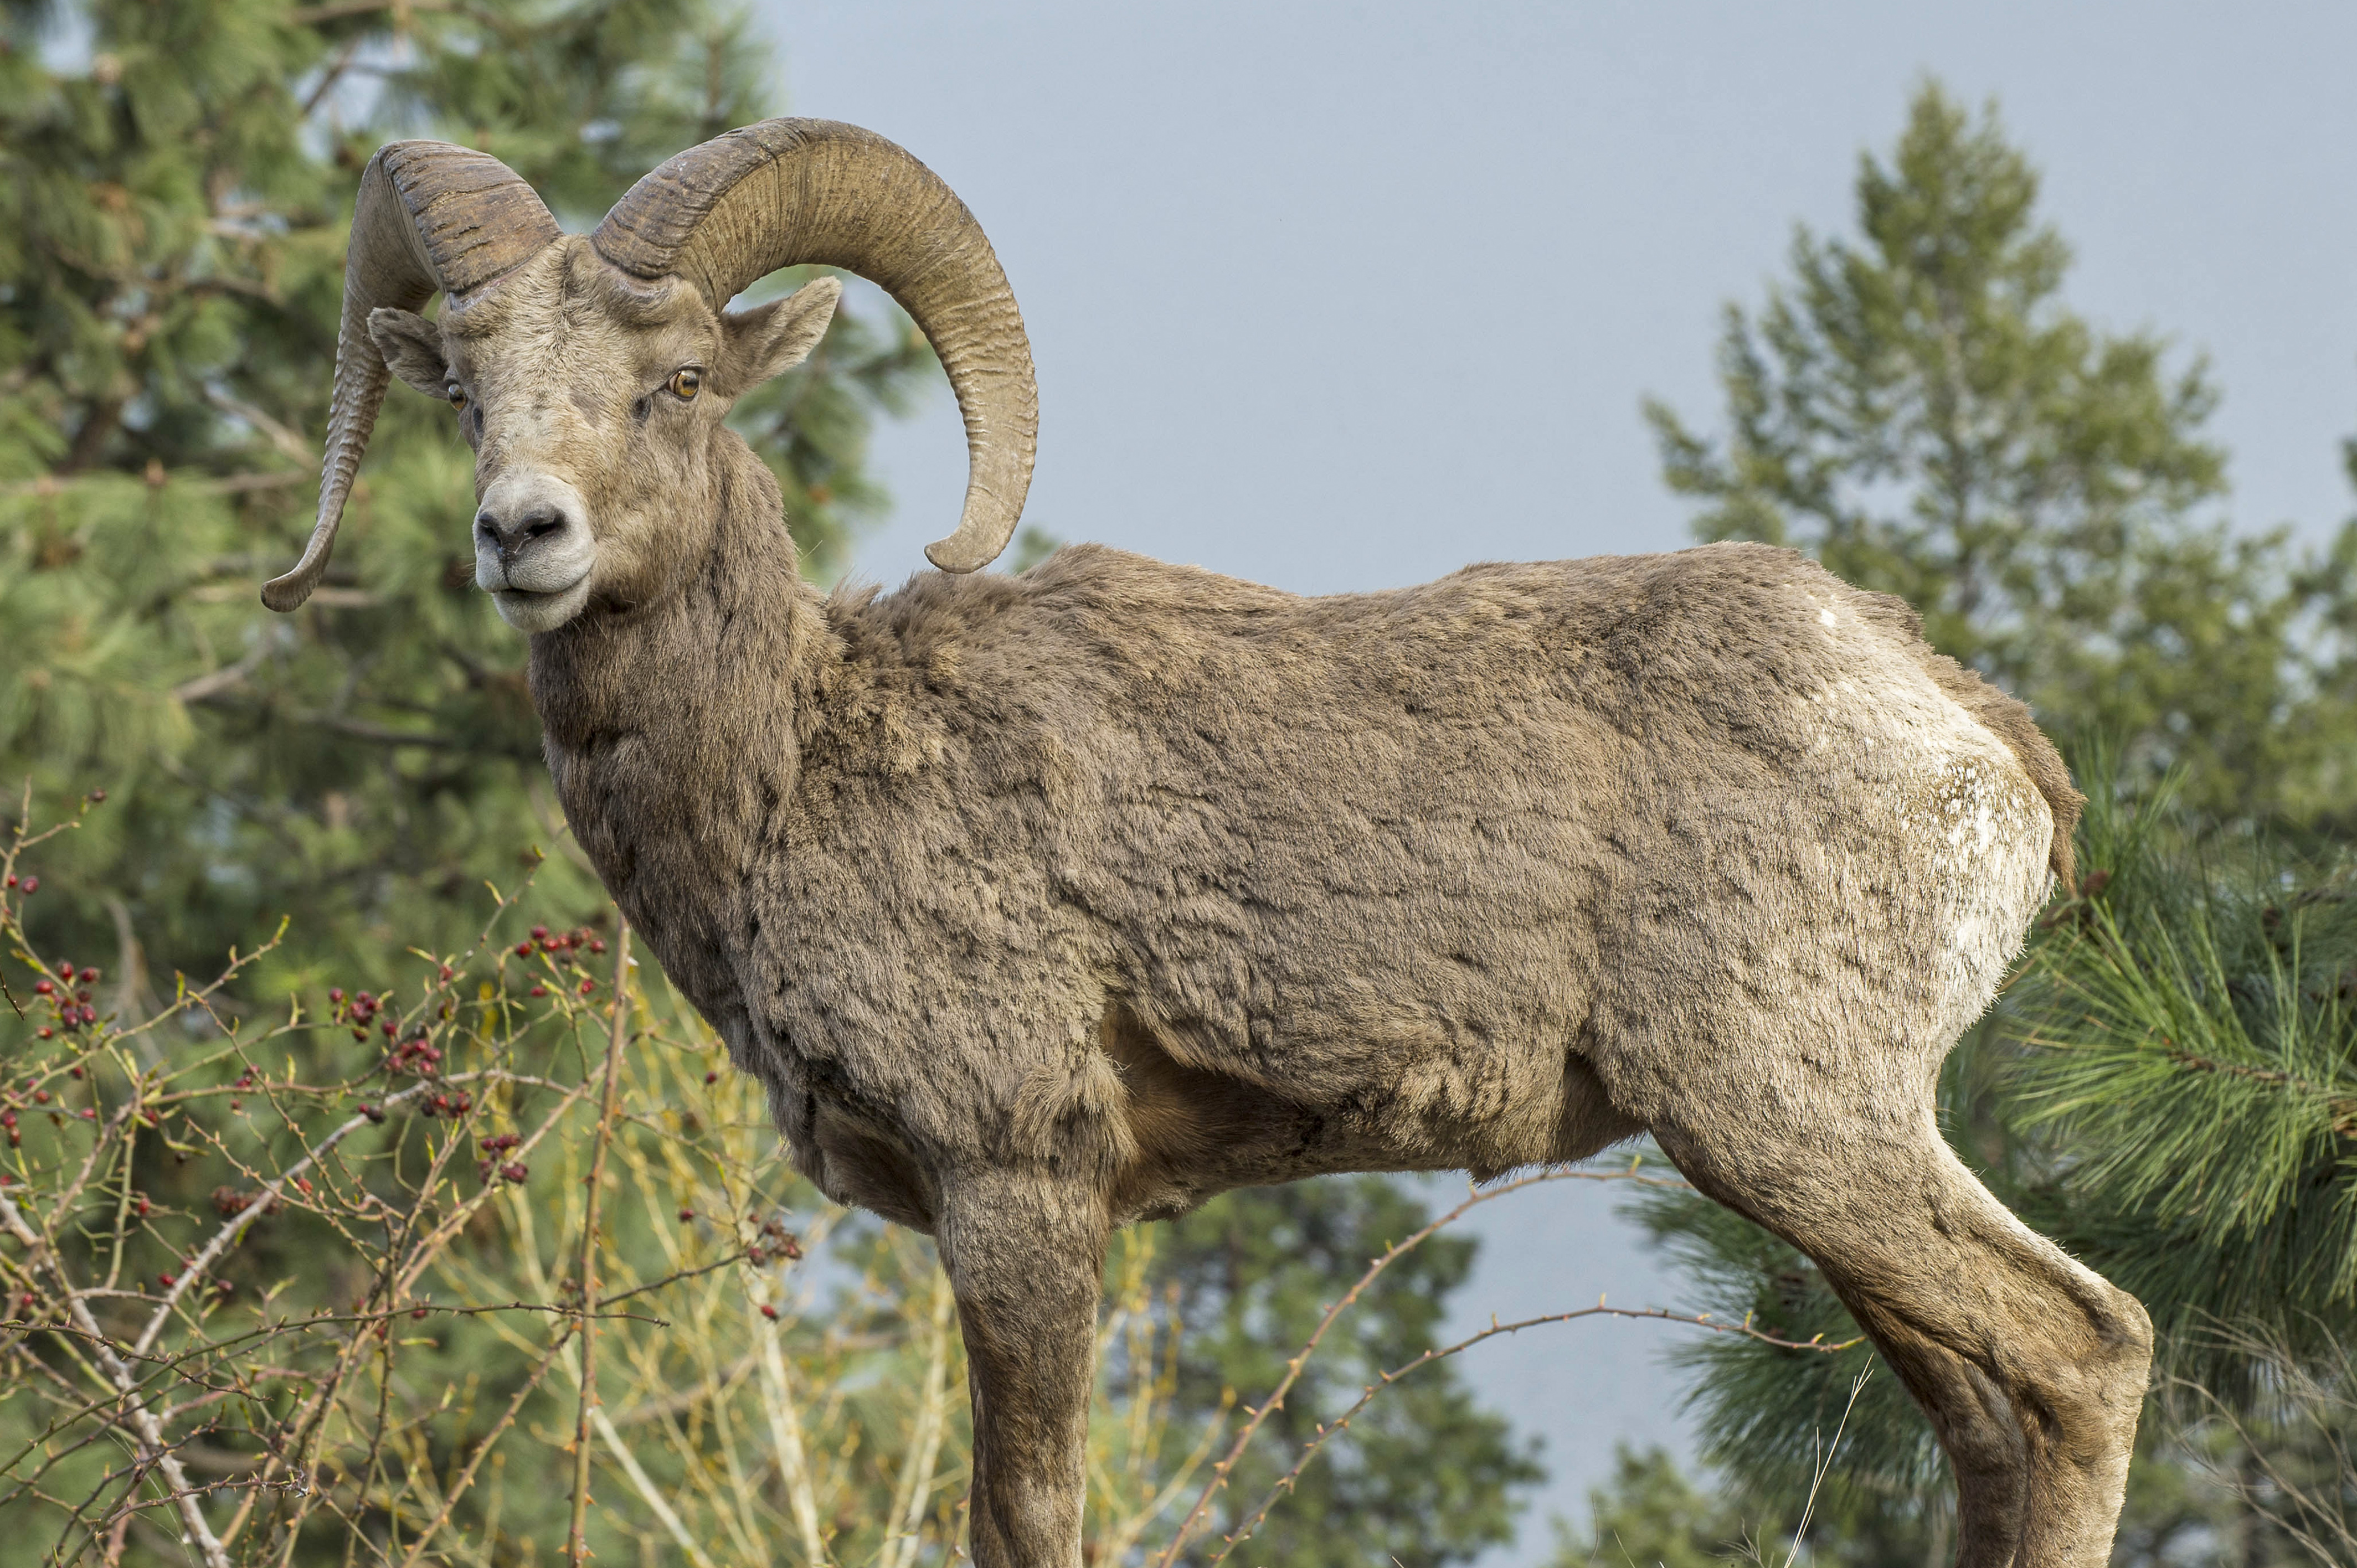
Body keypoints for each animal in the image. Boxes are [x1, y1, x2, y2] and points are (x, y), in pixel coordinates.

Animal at [264, 119, 2153, 1568]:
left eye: (672, 383)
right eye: (470, 393)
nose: (523, 535)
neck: (797, 768)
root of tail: (1957, 720)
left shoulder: (1019, 1187)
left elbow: (1026, 1518)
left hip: (1794, 1124)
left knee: (2083, 1352)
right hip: (1807, 1171)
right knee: (1991, 1426)